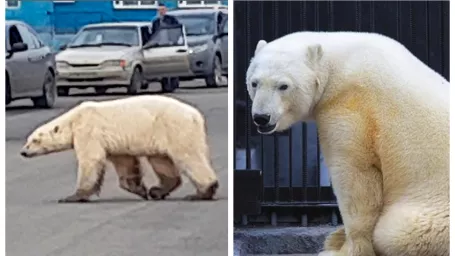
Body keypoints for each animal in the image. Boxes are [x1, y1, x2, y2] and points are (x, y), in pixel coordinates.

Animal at [20, 95, 220, 203]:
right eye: (28, 140)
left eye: (35, 140)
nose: (23, 152)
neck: (74, 119)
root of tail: (196, 115)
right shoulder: (116, 143)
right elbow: (125, 163)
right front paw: (140, 190)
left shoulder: (88, 131)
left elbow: (90, 160)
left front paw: (73, 197)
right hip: (160, 136)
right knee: (161, 161)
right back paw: (157, 191)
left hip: (175, 128)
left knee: (188, 157)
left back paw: (202, 192)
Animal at [246, 32, 448, 256]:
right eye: (254, 82)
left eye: (283, 85)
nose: (261, 117)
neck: (337, 63)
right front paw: (336, 239)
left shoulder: (351, 105)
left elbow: (355, 174)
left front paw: (342, 249)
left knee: (396, 232)